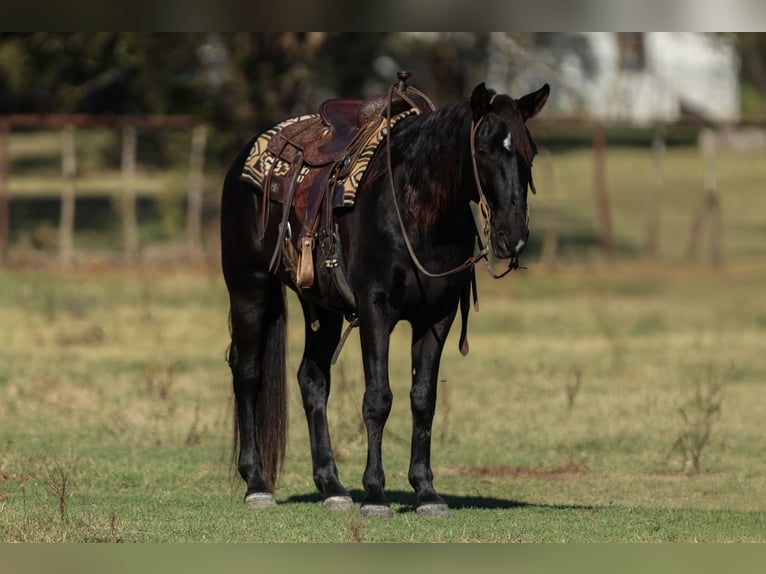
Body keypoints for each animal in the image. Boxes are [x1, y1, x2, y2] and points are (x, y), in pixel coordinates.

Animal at [221, 78, 549, 517]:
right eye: (483, 148)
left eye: (530, 150)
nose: (512, 236)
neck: (418, 209)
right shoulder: (376, 309)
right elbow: (378, 398)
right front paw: (375, 494)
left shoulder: (437, 316)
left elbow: (423, 399)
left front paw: (426, 492)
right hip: (249, 289)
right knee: (247, 374)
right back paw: (256, 483)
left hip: (322, 308)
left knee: (312, 380)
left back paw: (332, 487)